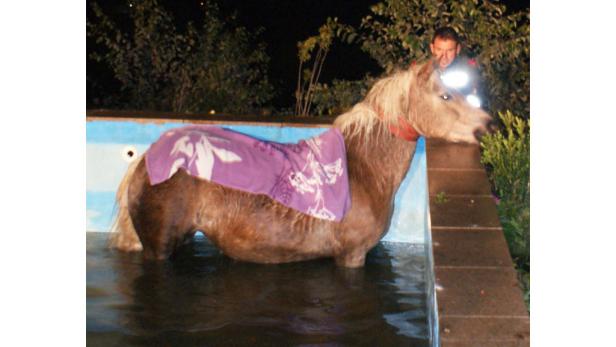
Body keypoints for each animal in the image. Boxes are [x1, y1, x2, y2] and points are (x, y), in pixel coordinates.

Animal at [107, 59, 490, 268]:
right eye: (445, 95)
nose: (488, 125)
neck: (364, 168)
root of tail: (147, 157)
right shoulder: (352, 256)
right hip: (160, 247)